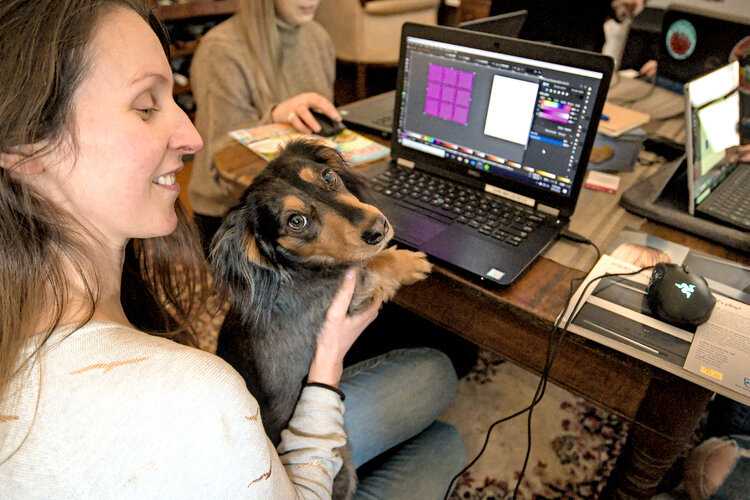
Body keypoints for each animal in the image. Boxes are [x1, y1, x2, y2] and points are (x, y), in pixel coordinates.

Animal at [212, 139, 434, 498]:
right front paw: (409, 262)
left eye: (328, 176)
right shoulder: (342, 297)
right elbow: (371, 265)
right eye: (296, 221)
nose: (379, 228)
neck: (298, 268)